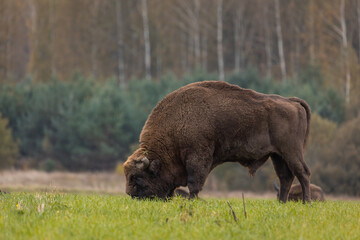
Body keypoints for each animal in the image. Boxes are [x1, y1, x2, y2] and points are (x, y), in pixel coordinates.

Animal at [124, 80, 312, 202]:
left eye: (137, 177)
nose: (131, 196)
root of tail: (291, 101)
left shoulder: (197, 156)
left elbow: (194, 182)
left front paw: (192, 201)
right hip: (277, 155)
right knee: (285, 177)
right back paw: (281, 203)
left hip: (291, 151)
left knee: (303, 173)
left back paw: (306, 202)